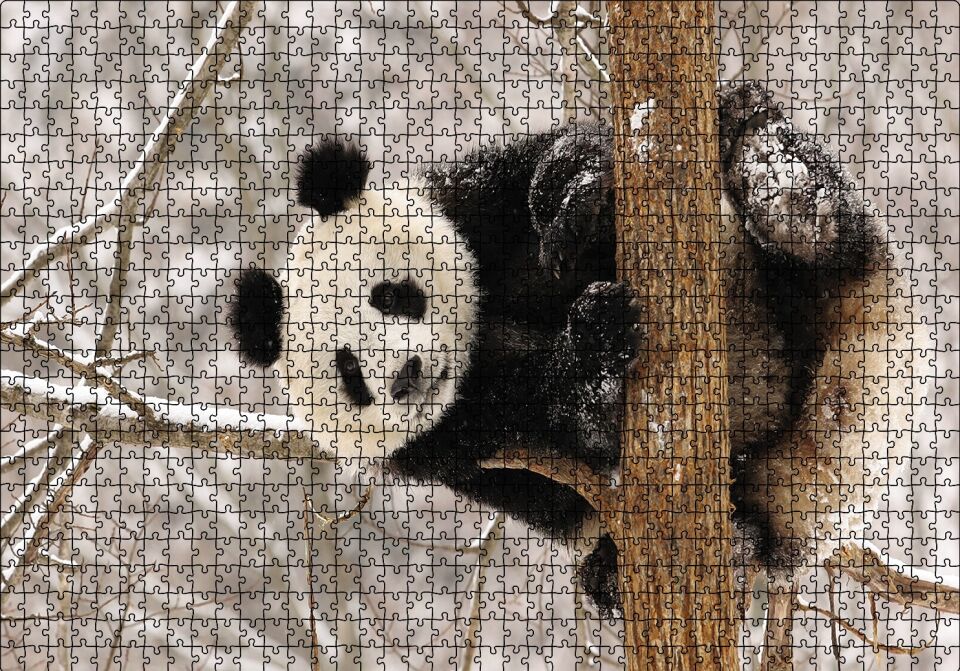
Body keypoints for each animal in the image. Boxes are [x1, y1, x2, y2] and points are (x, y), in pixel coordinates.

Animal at [229, 81, 916, 616]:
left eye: (391, 296)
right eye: (349, 371)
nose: (407, 375)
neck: (477, 338)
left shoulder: (468, 203)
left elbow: (549, 166)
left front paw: (573, 197)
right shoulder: (442, 444)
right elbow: (546, 430)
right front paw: (595, 338)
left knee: (824, 240)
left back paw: (771, 167)